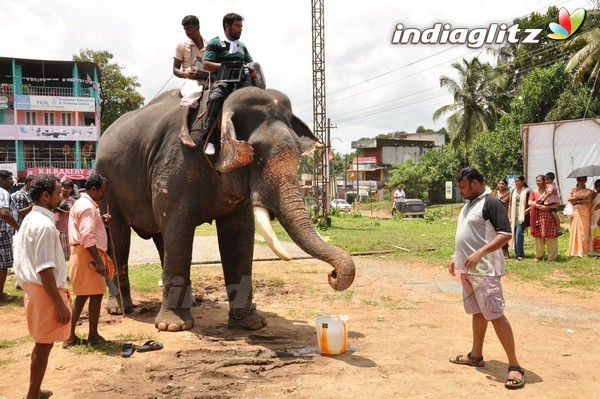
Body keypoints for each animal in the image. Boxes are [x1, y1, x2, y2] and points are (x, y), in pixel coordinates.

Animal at [95, 86, 354, 332]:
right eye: (256, 155)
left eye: (299, 154)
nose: (332, 275)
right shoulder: (175, 166)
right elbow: (179, 228)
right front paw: (173, 327)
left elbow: (239, 234)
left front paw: (251, 324)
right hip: (107, 184)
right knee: (118, 237)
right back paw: (120, 309)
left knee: (161, 239)